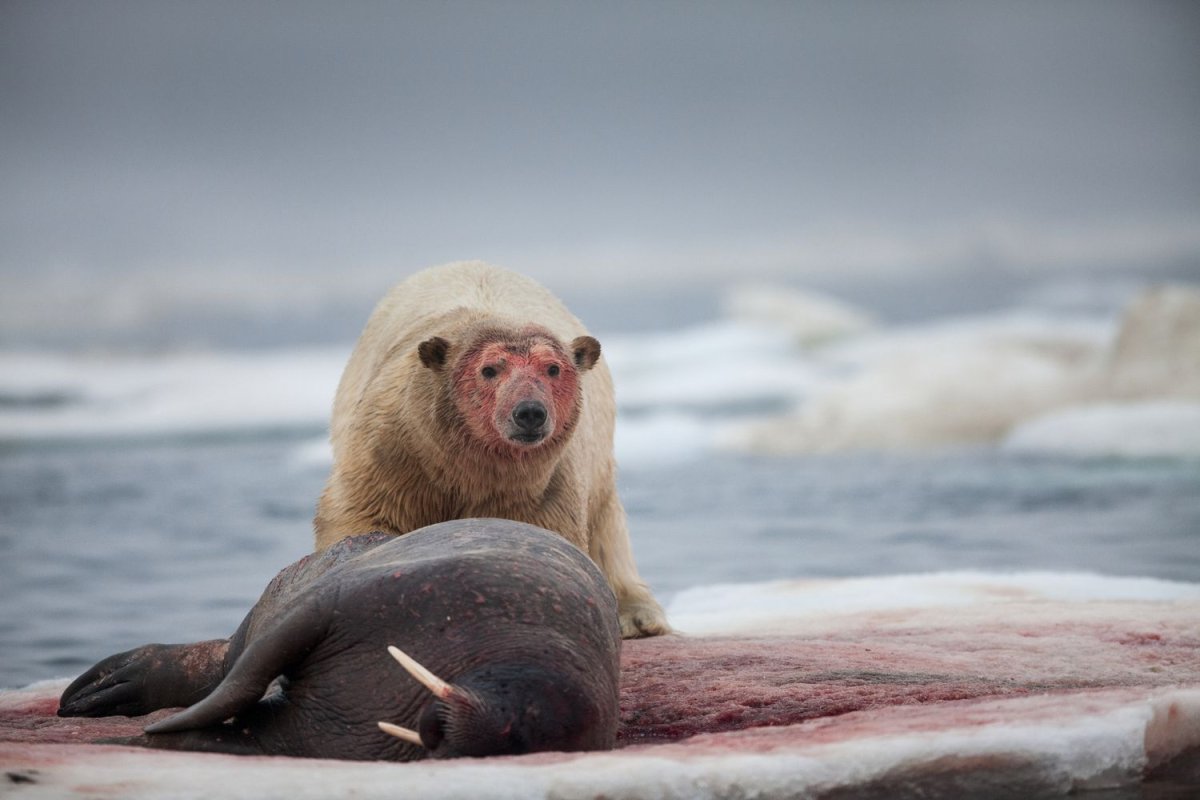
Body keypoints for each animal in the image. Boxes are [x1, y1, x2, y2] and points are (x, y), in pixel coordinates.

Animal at [314, 261, 670, 638]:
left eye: (553, 368)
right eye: (489, 369)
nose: (530, 412)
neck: (463, 465)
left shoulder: (542, 487)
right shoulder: (391, 452)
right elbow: (361, 514)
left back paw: (638, 616)